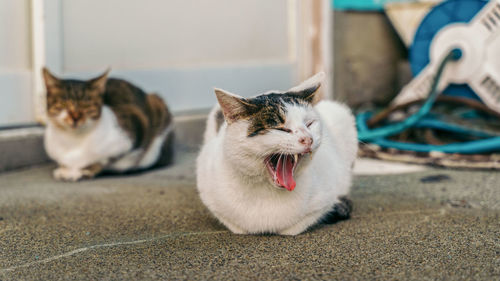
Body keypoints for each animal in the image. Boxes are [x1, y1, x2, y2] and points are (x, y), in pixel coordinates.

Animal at [43, 68, 176, 182]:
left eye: (87, 105)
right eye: (63, 103)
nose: (75, 117)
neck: (72, 141)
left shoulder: (133, 131)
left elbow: (103, 159)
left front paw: (82, 171)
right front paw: (64, 169)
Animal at [197, 71, 358, 234]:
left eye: (309, 124)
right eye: (281, 129)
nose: (308, 139)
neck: (266, 192)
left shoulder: (325, 196)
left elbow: (294, 227)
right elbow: (237, 227)